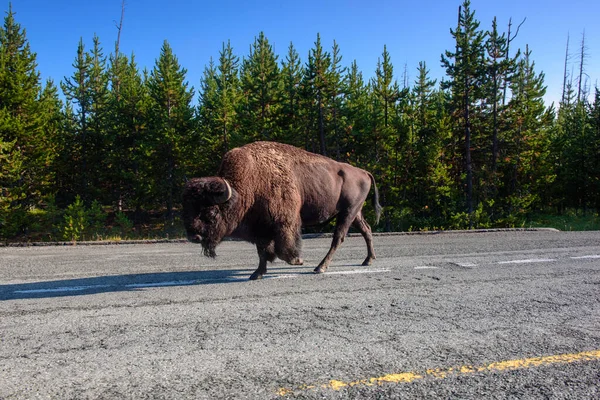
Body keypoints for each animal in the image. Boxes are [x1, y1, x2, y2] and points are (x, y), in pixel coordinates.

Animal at [180, 142, 382, 280]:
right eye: (187, 209)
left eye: (212, 212)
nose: (194, 236)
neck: (249, 183)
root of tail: (363, 172)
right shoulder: (260, 228)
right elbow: (262, 251)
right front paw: (256, 274)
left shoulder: (284, 223)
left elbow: (282, 247)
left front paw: (298, 261)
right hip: (355, 213)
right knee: (366, 230)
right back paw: (368, 260)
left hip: (348, 212)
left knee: (339, 237)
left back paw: (320, 267)